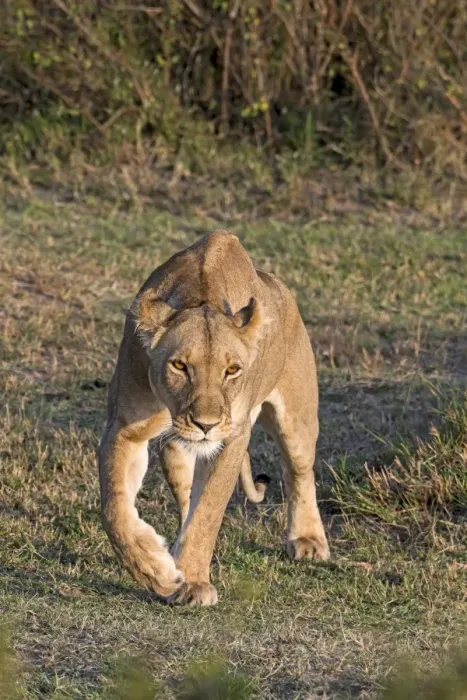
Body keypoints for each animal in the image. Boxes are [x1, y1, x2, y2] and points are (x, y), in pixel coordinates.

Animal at [99, 230, 329, 606]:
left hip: (297, 419)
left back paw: (308, 540)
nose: (205, 425)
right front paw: (155, 570)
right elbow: (114, 507)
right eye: (179, 365)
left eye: (232, 370)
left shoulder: (232, 438)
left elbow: (207, 511)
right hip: (174, 451)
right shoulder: (124, 427)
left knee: (299, 471)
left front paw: (191, 582)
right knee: (182, 484)